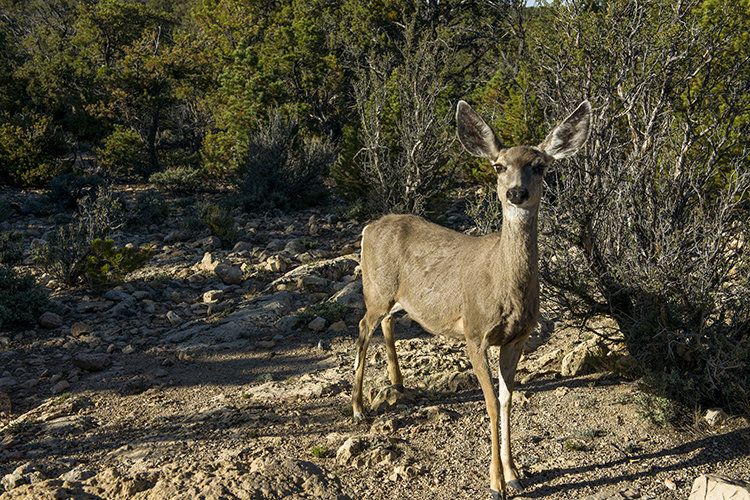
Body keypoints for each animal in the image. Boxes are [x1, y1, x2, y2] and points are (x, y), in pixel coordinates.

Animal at [352, 99, 592, 498]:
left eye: (539, 165)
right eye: (498, 166)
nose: (516, 193)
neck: (504, 286)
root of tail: (369, 227)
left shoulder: (517, 338)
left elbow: (508, 400)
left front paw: (515, 474)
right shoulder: (474, 334)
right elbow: (492, 403)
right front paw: (496, 483)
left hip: (396, 298)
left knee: (385, 323)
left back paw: (398, 383)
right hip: (376, 289)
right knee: (362, 326)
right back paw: (357, 408)